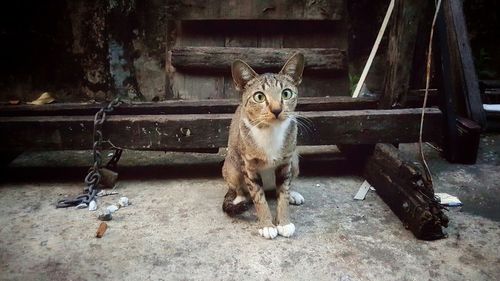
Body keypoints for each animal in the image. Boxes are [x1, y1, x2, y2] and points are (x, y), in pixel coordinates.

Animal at [222, 52, 304, 238]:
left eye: (286, 93)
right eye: (259, 96)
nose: (276, 110)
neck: (270, 131)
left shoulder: (286, 162)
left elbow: (283, 193)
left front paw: (284, 222)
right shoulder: (249, 166)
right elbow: (259, 198)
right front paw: (267, 225)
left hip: (295, 160)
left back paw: (293, 194)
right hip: (231, 165)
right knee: (238, 187)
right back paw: (240, 199)